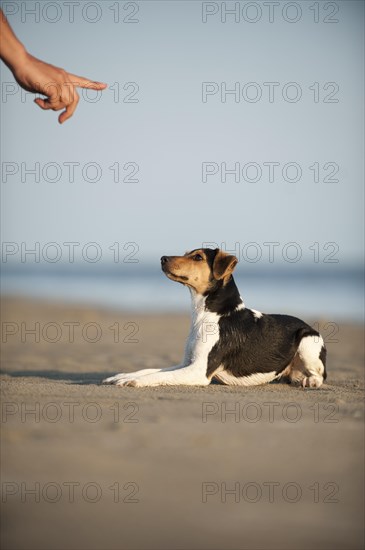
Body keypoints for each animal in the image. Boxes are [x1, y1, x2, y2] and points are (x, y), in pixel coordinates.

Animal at [103, 248, 328, 390]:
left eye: (198, 257)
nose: (163, 258)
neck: (206, 315)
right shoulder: (188, 362)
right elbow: (149, 369)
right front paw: (121, 376)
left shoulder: (199, 371)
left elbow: (159, 375)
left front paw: (134, 382)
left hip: (308, 340)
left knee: (320, 374)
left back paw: (310, 382)